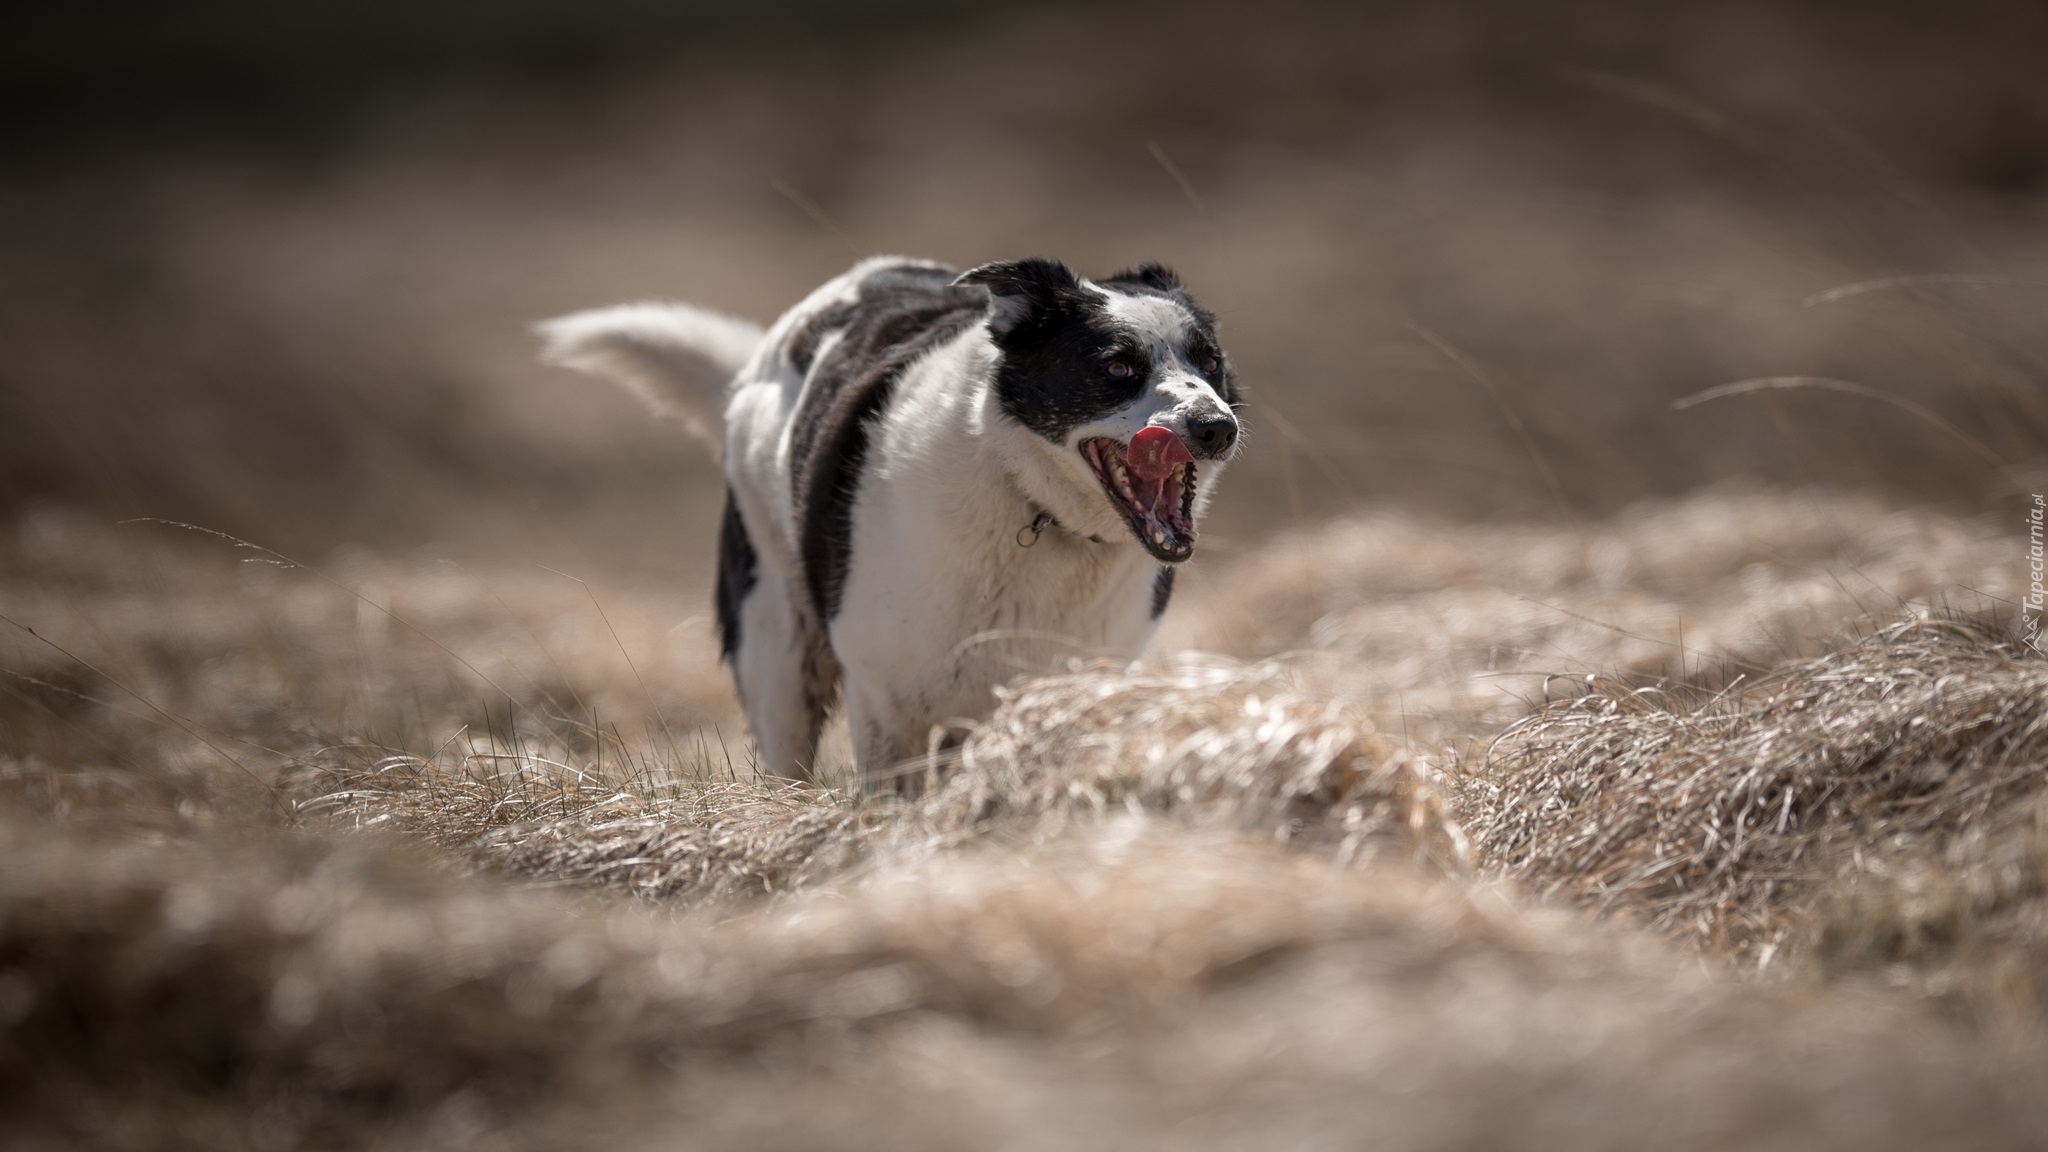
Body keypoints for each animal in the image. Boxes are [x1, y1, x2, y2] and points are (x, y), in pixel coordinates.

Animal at [544, 255, 1236, 783]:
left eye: (1210, 364)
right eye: (1117, 366)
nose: (1217, 428)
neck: (1031, 503)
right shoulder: (886, 699)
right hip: (776, 649)